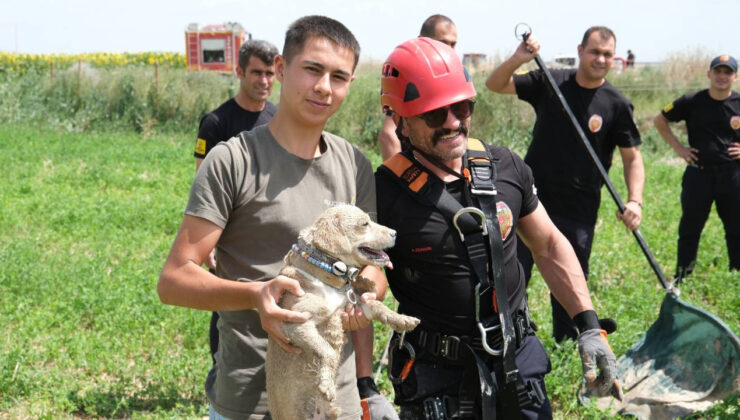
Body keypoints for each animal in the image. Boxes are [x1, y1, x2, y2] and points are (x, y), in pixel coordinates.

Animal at [266, 203, 420, 420]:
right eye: (364, 224)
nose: (395, 232)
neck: (327, 276)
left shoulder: (355, 303)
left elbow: (378, 306)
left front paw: (402, 319)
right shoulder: (295, 324)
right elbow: (327, 350)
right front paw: (327, 384)